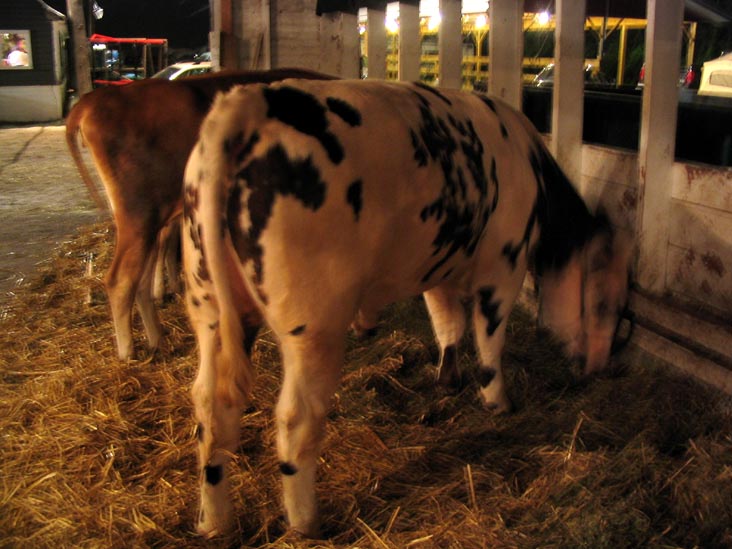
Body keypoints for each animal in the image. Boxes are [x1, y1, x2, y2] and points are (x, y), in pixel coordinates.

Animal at [65, 68, 335, 360]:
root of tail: (94, 99)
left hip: (151, 219)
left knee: (141, 279)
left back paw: (156, 339)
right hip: (139, 215)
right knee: (121, 280)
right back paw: (128, 352)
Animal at [181, 79, 633, 537]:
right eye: (606, 303)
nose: (601, 367)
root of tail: (251, 100)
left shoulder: (439, 269)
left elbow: (447, 322)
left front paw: (448, 378)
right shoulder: (504, 265)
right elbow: (489, 337)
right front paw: (498, 401)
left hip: (209, 304)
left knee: (209, 404)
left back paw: (213, 520)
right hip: (313, 322)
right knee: (296, 417)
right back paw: (306, 522)